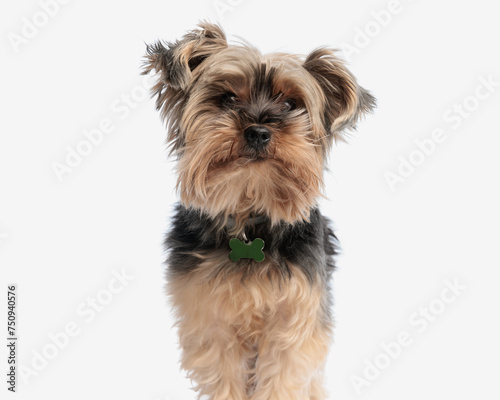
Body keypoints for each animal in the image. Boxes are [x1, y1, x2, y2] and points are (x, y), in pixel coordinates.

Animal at [143, 21, 374, 400]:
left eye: (291, 103)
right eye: (226, 98)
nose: (259, 131)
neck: (250, 217)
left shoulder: (295, 319)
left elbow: (282, 374)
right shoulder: (210, 318)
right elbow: (224, 373)